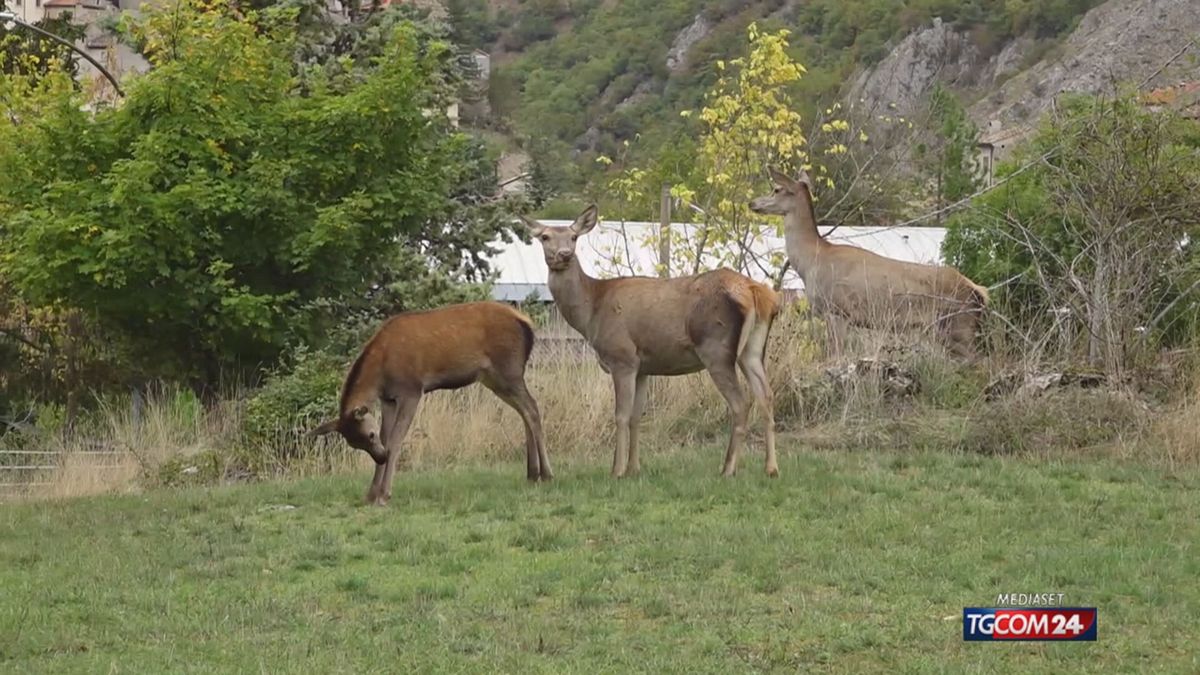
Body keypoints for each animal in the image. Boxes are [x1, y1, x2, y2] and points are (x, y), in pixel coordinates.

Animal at [309, 300, 552, 504]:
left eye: (369, 435)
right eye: (354, 444)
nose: (380, 458)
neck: (380, 373)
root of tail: (527, 323)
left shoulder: (411, 390)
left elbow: (395, 440)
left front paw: (384, 494)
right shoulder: (388, 399)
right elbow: (387, 437)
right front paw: (371, 494)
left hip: (509, 368)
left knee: (532, 408)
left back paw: (547, 474)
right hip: (494, 379)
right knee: (524, 411)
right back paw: (532, 474)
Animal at [520, 201, 782, 475]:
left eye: (573, 237)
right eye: (544, 237)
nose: (564, 254)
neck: (591, 312)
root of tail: (756, 292)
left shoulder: (622, 357)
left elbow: (621, 415)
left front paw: (617, 470)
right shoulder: (644, 366)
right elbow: (637, 416)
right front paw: (634, 468)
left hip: (715, 348)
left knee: (741, 403)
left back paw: (728, 469)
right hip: (752, 349)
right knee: (766, 396)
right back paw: (771, 468)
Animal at [748, 165, 993, 357]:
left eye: (776, 189)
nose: (752, 203)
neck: (812, 261)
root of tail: (978, 291)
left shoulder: (838, 310)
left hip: (960, 325)